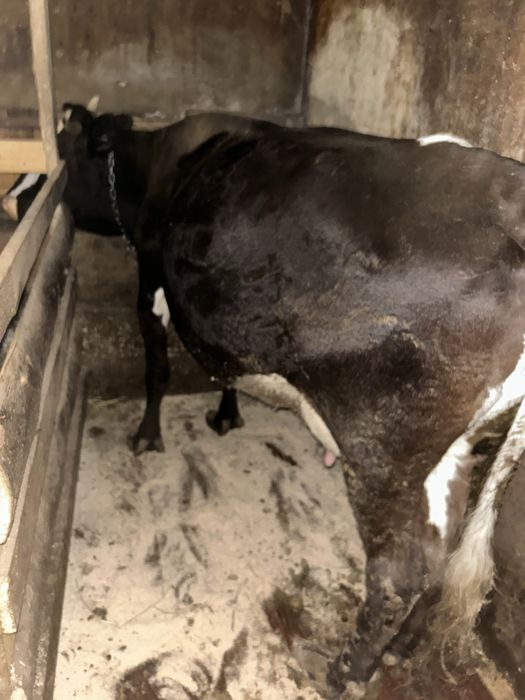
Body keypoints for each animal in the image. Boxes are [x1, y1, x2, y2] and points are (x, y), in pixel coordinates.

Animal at [4, 105, 525, 691]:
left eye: (67, 152)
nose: (15, 199)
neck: (158, 161)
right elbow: (223, 370)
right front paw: (226, 415)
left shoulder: (150, 278)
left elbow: (158, 370)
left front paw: (147, 434)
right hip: (454, 448)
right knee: (441, 556)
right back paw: (400, 651)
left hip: (382, 448)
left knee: (397, 577)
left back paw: (342, 674)